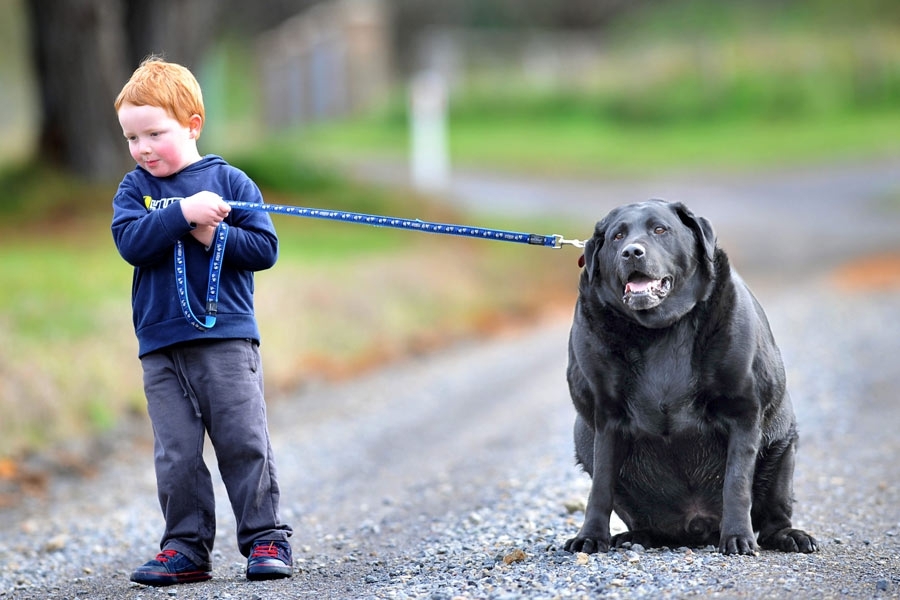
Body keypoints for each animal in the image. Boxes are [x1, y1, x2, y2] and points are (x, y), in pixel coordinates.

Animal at [568, 199, 820, 556]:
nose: (632, 252)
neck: (660, 329)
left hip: (783, 448)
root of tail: (695, 525)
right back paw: (634, 536)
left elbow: (736, 484)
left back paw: (790, 536)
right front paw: (590, 536)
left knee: (774, 516)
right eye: (617, 236)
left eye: (660, 229)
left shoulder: (745, 411)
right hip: (583, 441)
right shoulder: (605, 418)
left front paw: (737, 537)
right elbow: (601, 488)